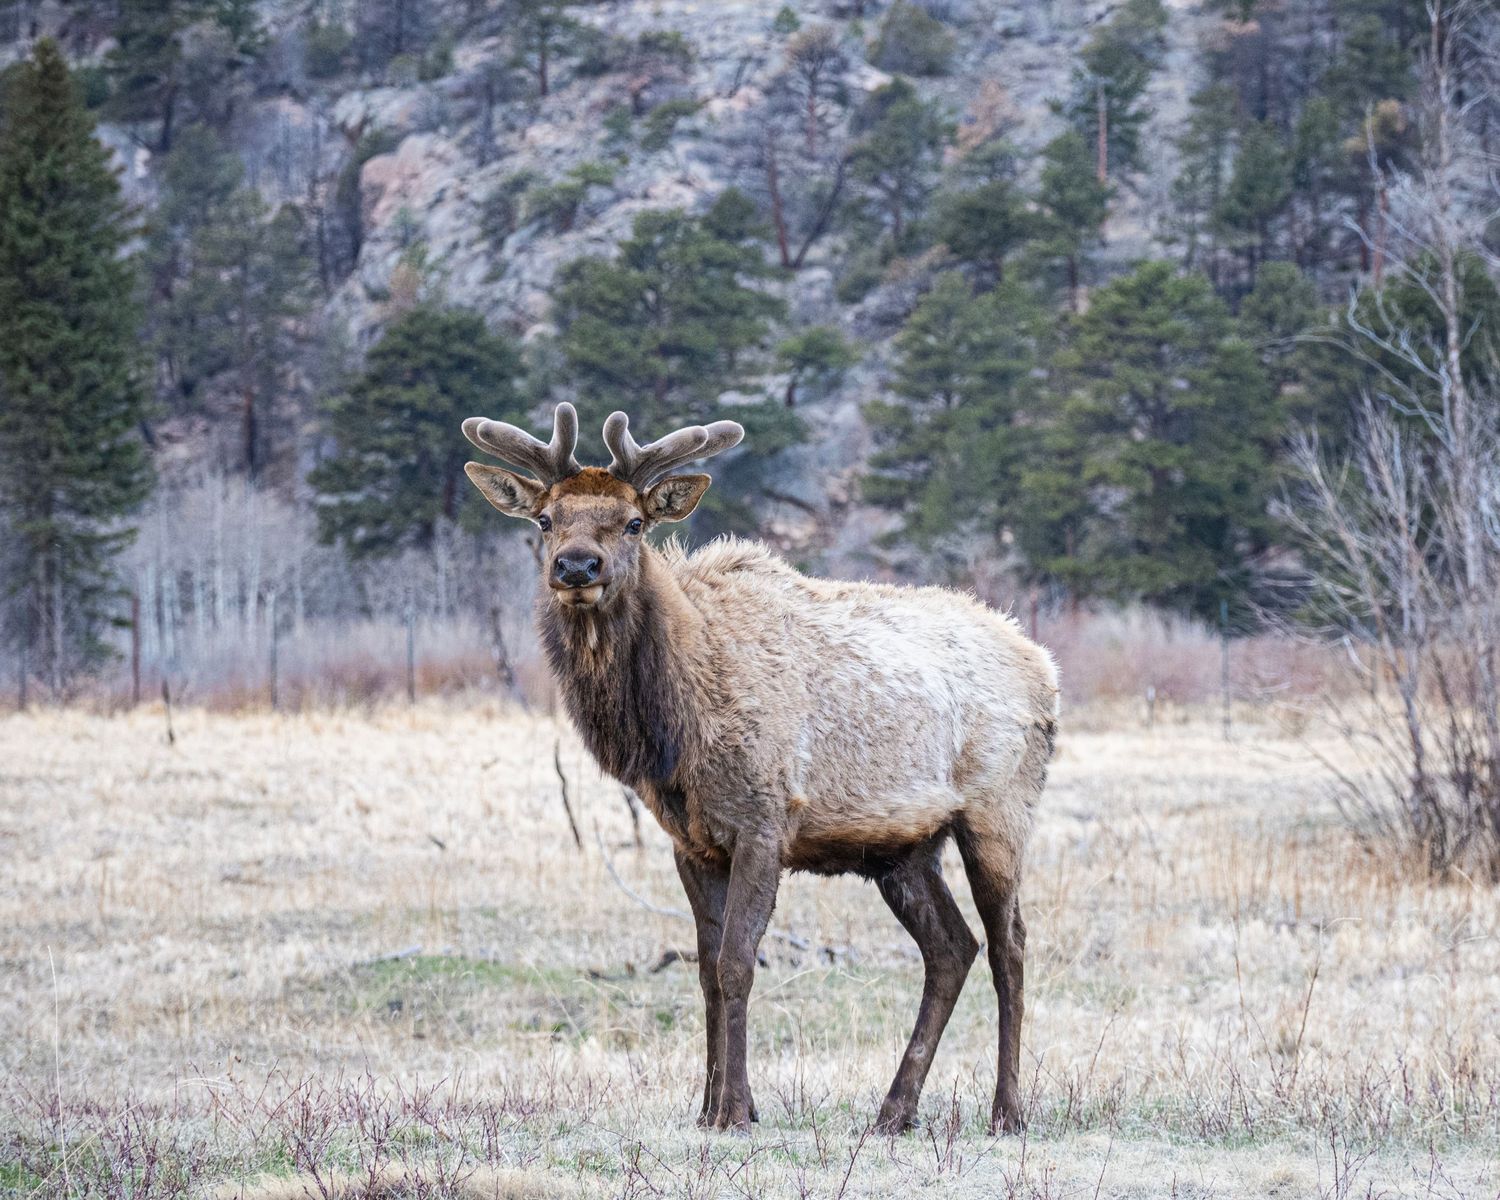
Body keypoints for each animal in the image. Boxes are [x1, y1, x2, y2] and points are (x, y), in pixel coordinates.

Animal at [462, 404, 1059, 1135]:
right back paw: (894, 1109)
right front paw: (710, 1105)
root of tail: (1044, 667)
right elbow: (703, 969)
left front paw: (735, 1109)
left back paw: (1007, 1110)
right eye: (545, 519)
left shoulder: (764, 821)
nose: (578, 565)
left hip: (998, 812)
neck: (673, 727)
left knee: (1010, 948)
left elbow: (737, 965)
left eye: (633, 521)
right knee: (952, 948)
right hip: (904, 848)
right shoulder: (690, 842)